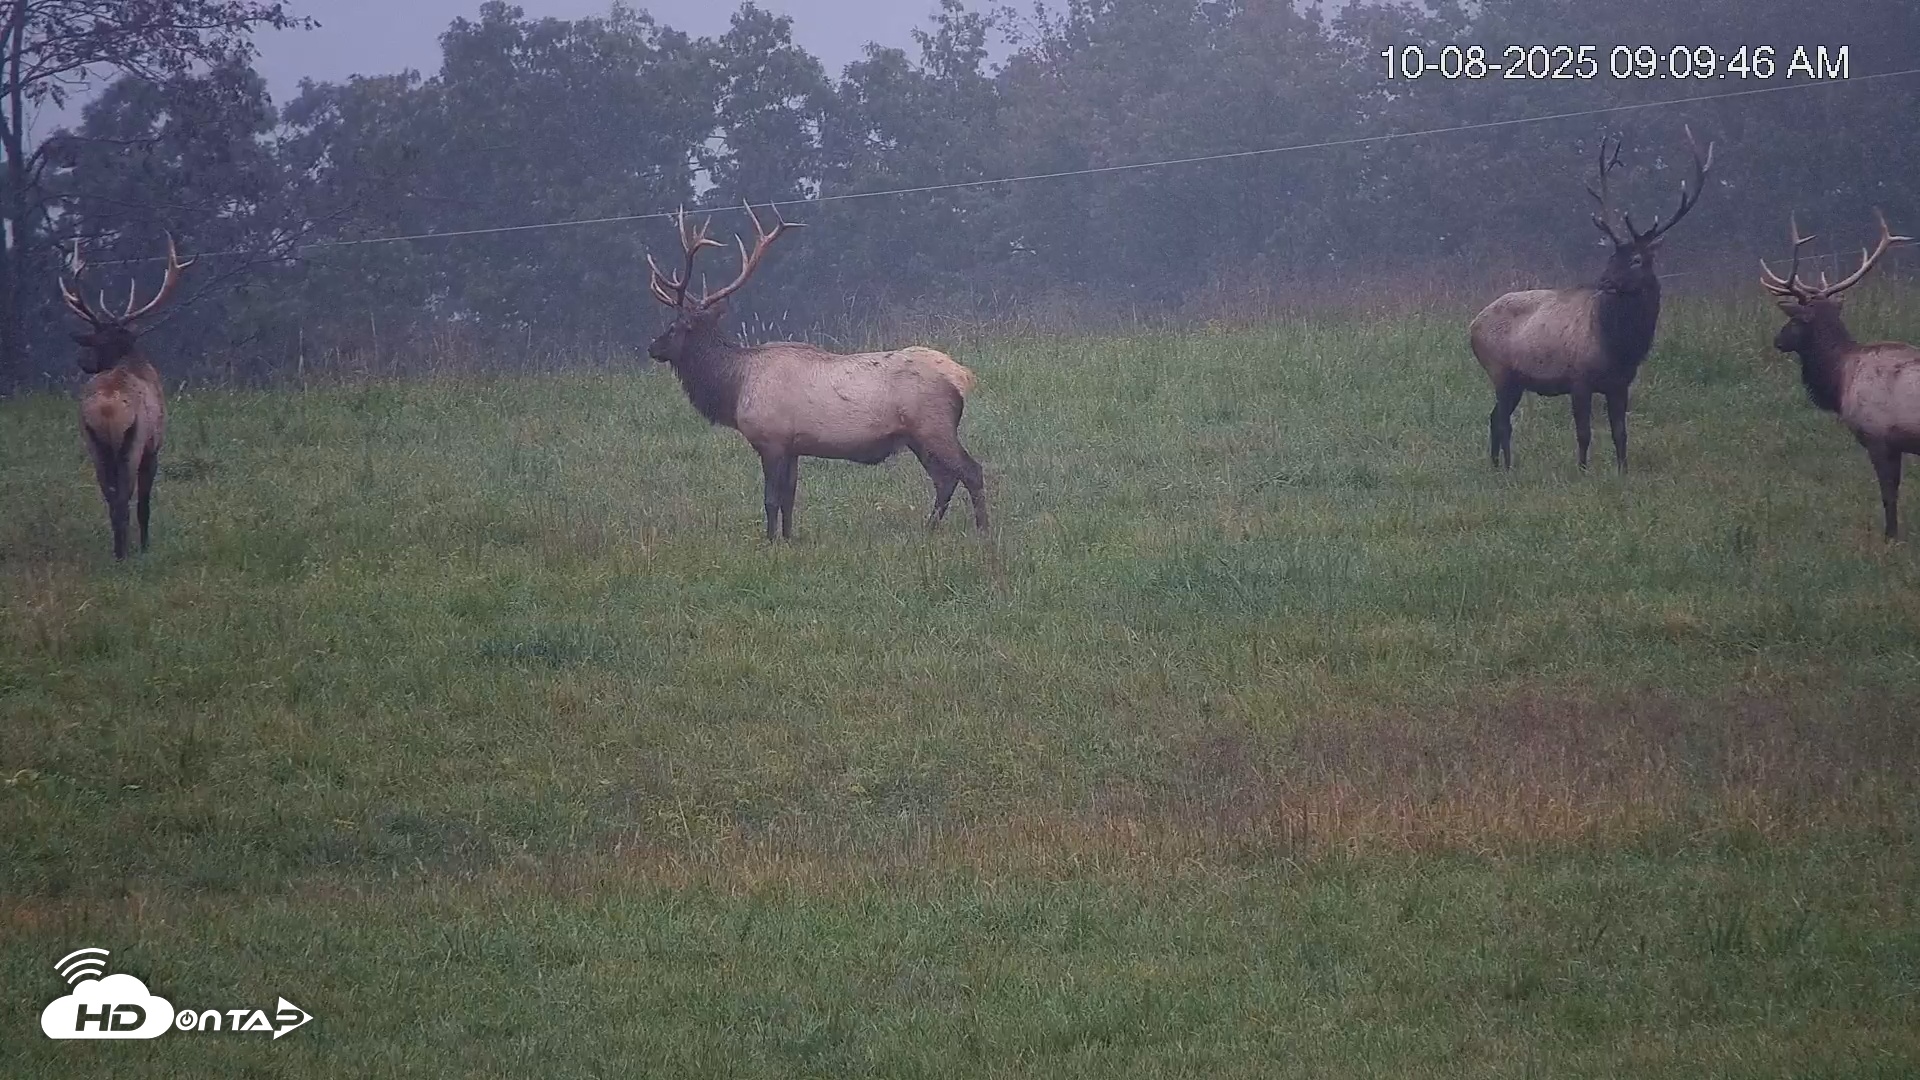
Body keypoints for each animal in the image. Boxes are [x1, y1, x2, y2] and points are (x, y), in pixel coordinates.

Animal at [58, 233, 194, 560]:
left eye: (98, 341)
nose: (83, 361)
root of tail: (106, 409)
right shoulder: (154, 446)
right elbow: (144, 501)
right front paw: (146, 546)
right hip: (132, 441)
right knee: (124, 495)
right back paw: (127, 552)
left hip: (94, 443)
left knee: (109, 494)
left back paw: (118, 551)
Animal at [644, 203, 987, 541]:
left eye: (674, 328)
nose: (651, 347)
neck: (735, 387)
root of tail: (962, 376)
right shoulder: (792, 447)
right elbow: (789, 497)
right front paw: (788, 538)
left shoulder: (770, 440)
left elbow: (771, 498)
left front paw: (770, 542)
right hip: (916, 436)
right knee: (944, 479)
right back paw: (928, 529)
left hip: (934, 426)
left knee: (970, 470)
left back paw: (983, 531)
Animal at [1469, 127, 1714, 473]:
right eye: (1612, 254)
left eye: (1637, 259)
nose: (1605, 281)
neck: (1619, 347)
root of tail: (1471, 327)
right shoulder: (1579, 378)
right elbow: (1583, 432)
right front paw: (1583, 471)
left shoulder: (1620, 384)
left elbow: (1620, 431)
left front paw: (1623, 471)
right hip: (1500, 371)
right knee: (1502, 420)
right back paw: (1506, 467)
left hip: (1515, 381)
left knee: (1495, 418)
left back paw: (1497, 466)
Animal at [1761, 210, 1919, 540]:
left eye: (1795, 321)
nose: (1777, 340)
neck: (1840, 379)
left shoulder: (1878, 437)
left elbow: (1889, 493)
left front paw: (1891, 537)